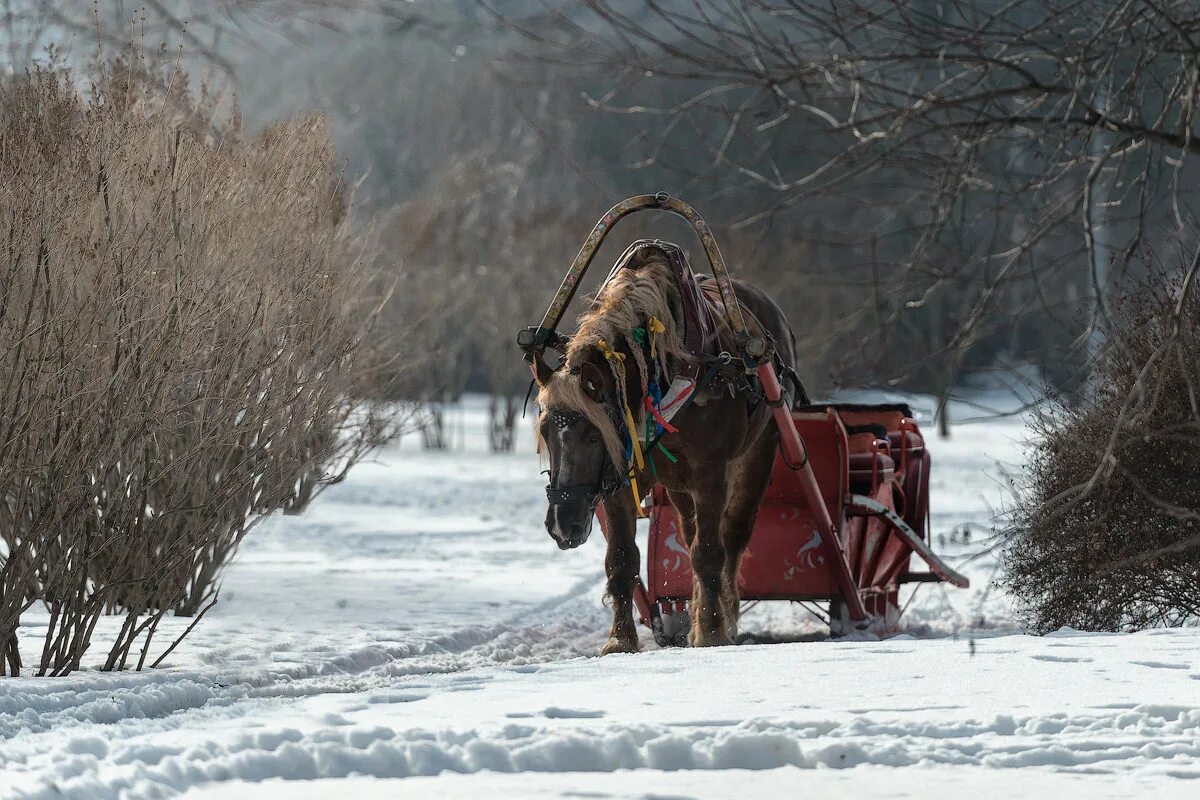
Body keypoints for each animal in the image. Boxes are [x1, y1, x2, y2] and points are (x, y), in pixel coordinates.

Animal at [532, 241, 796, 652]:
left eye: (592, 435)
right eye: (545, 432)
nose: (563, 526)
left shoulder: (710, 473)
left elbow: (709, 553)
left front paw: (712, 633)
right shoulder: (619, 479)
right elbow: (622, 558)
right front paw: (620, 640)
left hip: (758, 452)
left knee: (731, 538)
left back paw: (725, 619)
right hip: (676, 482)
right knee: (689, 535)